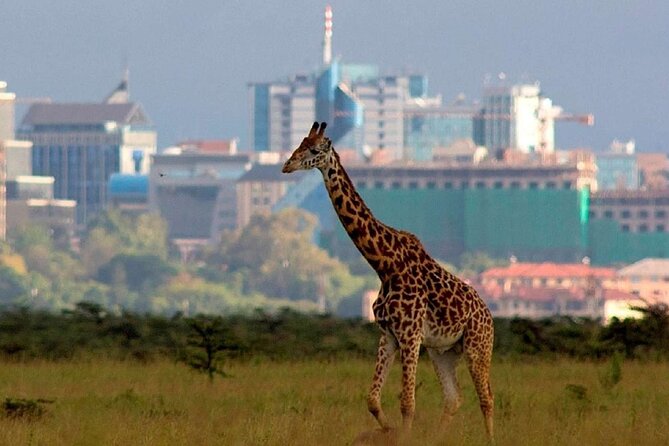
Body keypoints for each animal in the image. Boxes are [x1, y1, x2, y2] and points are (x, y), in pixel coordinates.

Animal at [280, 123, 494, 440]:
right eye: (300, 144)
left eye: (314, 150)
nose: (287, 165)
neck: (385, 265)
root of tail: (489, 316)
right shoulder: (388, 335)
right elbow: (372, 399)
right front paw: (389, 430)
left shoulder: (410, 334)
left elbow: (407, 402)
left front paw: (402, 435)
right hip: (442, 351)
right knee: (453, 399)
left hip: (477, 346)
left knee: (486, 398)